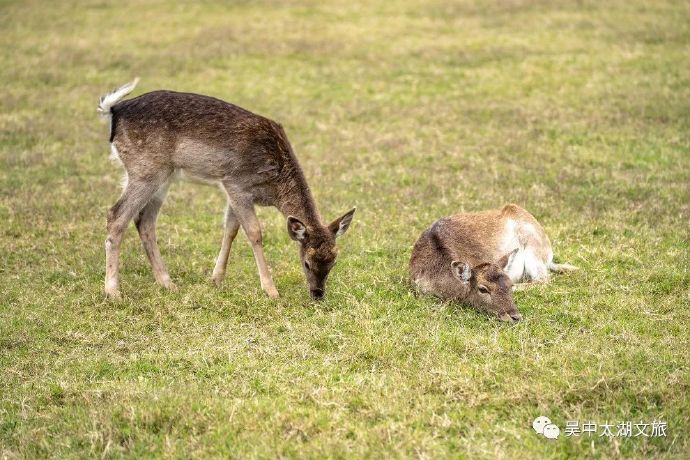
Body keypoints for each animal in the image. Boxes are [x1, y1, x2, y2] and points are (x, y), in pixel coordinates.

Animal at [97, 78, 354, 302]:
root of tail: (114, 110)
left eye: (334, 261)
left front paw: (216, 279)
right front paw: (271, 291)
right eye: (306, 263)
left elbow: (230, 229)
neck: (273, 188)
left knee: (144, 221)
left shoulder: (233, 190)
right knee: (116, 215)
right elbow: (254, 233)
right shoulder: (237, 184)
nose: (318, 295)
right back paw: (113, 291)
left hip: (162, 177)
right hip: (145, 170)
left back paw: (167, 283)